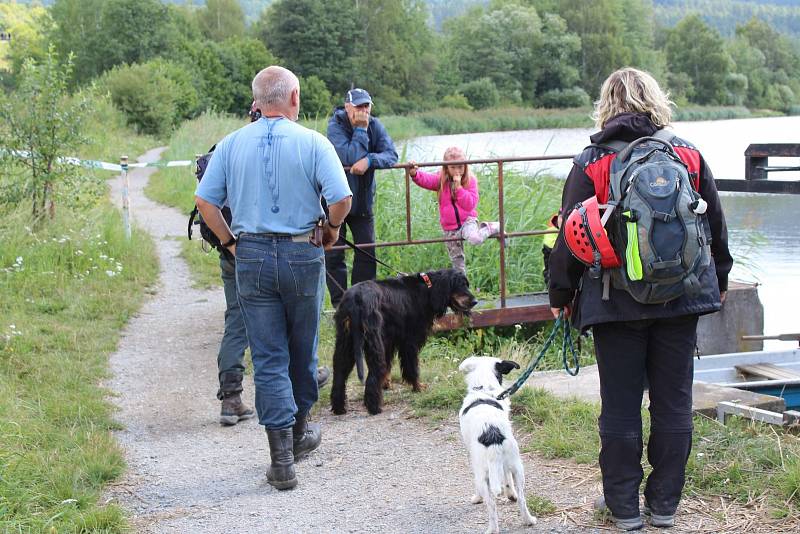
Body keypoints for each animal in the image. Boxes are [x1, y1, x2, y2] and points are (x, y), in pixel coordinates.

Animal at [330, 270, 476, 416]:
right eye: (460, 284)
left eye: (466, 284)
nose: (475, 301)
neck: (427, 288)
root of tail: (356, 298)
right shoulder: (410, 341)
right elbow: (412, 367)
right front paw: (418, 387)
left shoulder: (388, 340)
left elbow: (388, 366)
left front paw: (386, 384)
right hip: (372, 339)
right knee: (373, 373)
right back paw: (374, 408)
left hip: (345, 340)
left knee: (339, 372)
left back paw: (339, 407)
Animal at [456, 358, 536, 532]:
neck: (484, 389)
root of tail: (492, 435)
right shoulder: (507, 467)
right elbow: (507, 480)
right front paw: (510, 494)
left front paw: (476, 498)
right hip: (518, 467)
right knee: (522, 499)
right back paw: (528, 520)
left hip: (483, 475)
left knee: (491, 506)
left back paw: (492, 529)